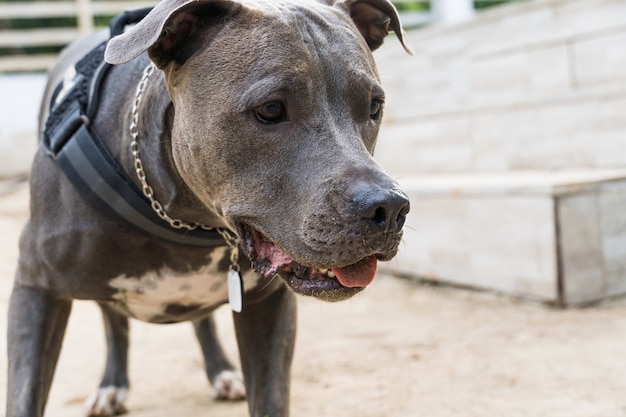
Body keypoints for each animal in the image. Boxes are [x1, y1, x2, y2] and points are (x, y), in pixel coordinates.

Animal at [8, 0, 414, 414]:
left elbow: (269, 396)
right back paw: (112, 384)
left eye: (374, 106)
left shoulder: (268, 304)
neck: (185, 219)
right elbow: (24, 394)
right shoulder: (35, 286)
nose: (389, 209)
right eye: (271, 109)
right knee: (114, 320)